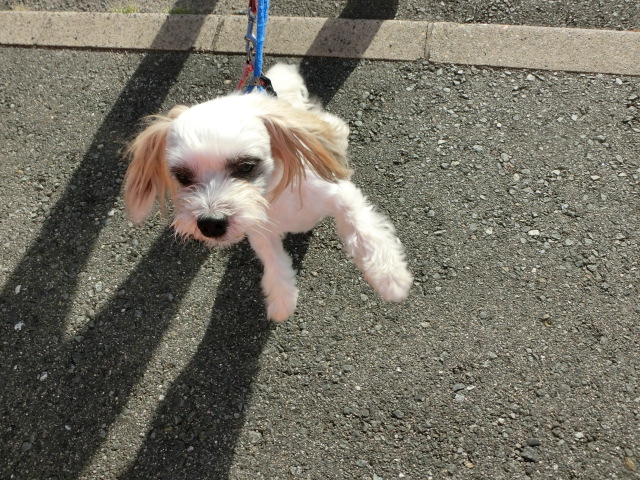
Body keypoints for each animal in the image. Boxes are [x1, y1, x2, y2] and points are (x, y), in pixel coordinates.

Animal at [123, 64, 412, 322]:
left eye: (246, 166)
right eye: (182, 177)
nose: (211, 223)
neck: (275, 195)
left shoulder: (341, 195)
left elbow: (364, 230)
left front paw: (389, 276)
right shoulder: (259, 230)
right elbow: (275, 262)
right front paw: (282, 299)